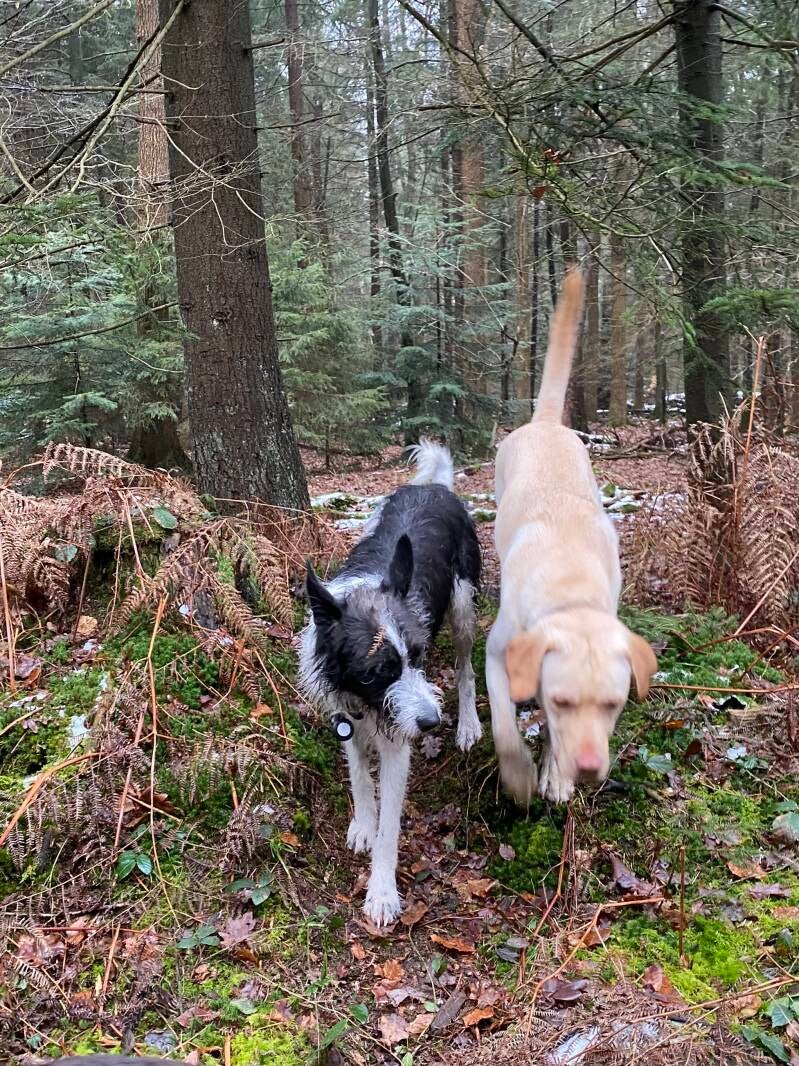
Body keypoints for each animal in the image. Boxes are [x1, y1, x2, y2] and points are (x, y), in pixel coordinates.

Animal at [299, 441, 481, 925]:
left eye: (417, 656)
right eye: (378, 671)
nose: (432, 722)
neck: (365, 701)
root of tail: (435, 487)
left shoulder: (398, 741)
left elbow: (390, 824)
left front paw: (381, 891)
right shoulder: (347, 718)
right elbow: (360, 778)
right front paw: (363, 822)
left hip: (463, 608)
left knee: (466, 668)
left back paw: (468, 724)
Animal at [486, 268, 657, 806]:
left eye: (612, 704)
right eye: (562, 700)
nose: (587, 770)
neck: (570, 587)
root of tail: (545, 422)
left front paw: (556, 774)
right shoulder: (499, 654)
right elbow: (505, 724)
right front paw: (520, 775)